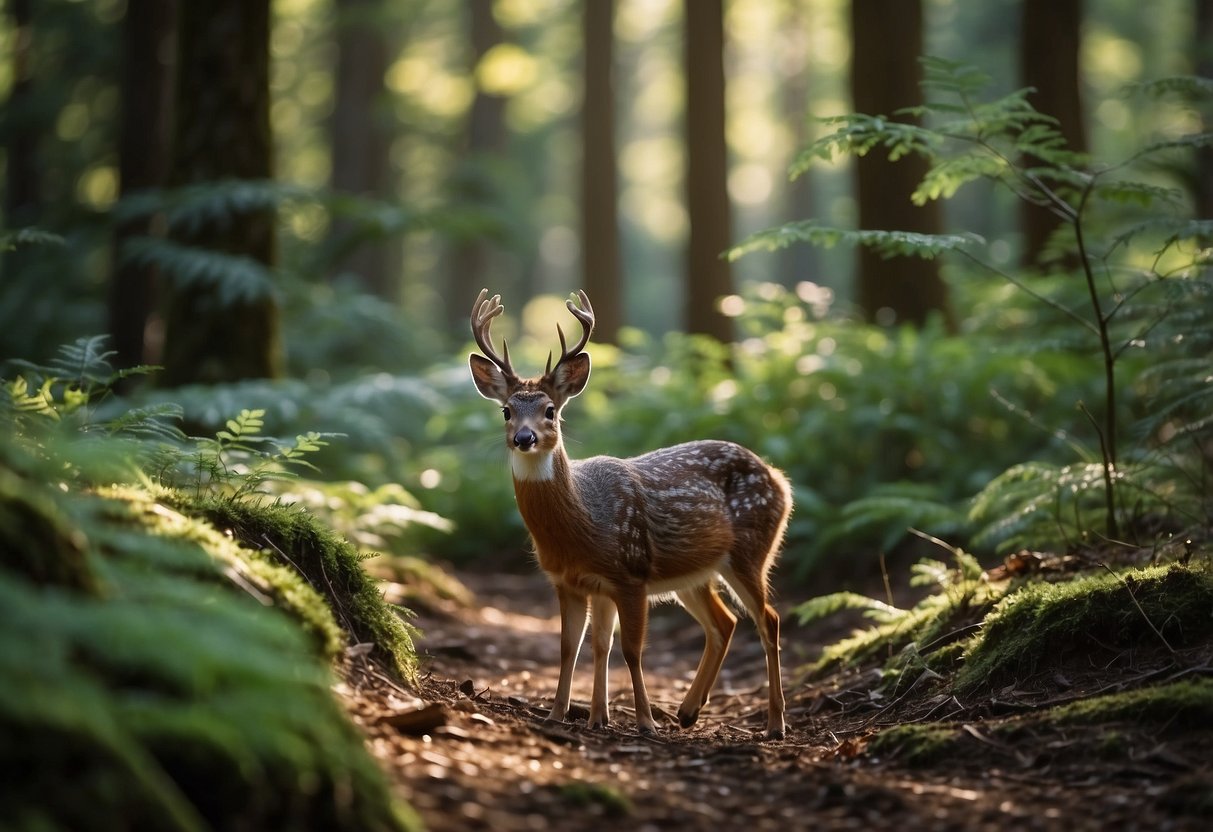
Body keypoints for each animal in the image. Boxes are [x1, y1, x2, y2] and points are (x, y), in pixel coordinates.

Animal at [468, 289, 790, 742]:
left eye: (550, 410)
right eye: (506, 411)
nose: (524, 438)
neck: (585, 522)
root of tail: (779, 479)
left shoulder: (631, 573)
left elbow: (631, 650)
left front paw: (643, 721)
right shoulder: (572, 582)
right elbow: (578, 646)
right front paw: (573, 715)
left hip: (750, 550)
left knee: (769, 620)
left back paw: (775, 723)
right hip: (695, 573)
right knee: (724, 622)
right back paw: (688, 712)